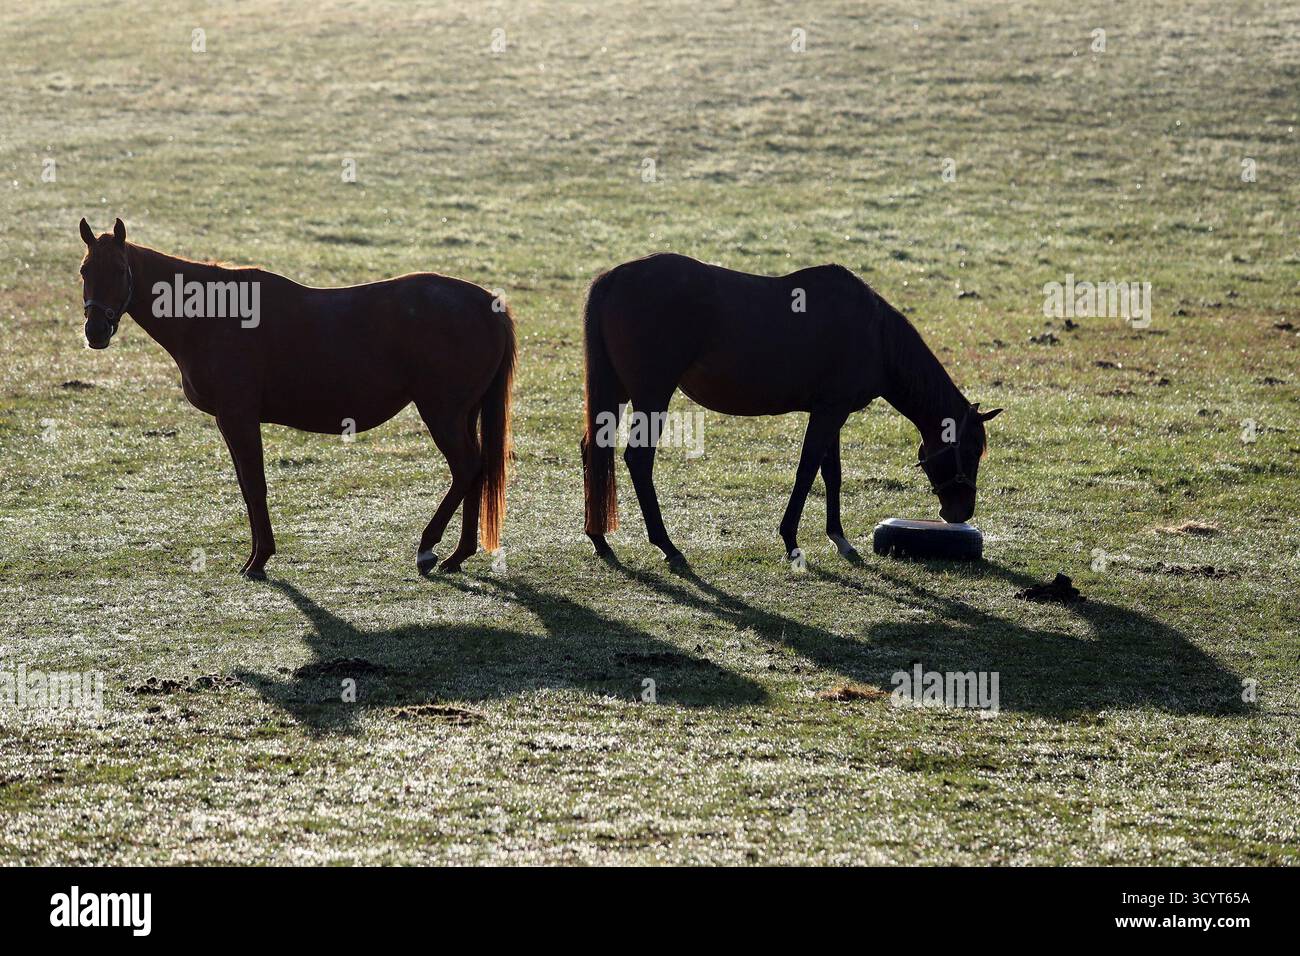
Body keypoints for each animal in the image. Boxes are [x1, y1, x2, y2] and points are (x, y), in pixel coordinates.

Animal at [78, 218, 515, 578]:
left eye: (119, 270)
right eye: (84, 271)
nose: (96, 331)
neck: (213, 316)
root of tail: (486, 304)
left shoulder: (238, 417)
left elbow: (255, 485)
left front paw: (259, 559)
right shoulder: (230, 420)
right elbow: (246, 485)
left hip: (443, 413)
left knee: (466, 467)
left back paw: (428, 549)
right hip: (463, 413)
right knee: (476, 469)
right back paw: (459, 554)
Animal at [580, 253, 1002, 565]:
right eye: (969, 451)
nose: (961, 512)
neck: (876, 335)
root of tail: (613, 278)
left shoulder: (832, 412)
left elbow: (832, 473)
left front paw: (839, 538)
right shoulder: (830, 411)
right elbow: (807, 470)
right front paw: (790, 539)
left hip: (617, 392)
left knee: (594, 450)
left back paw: (599, 538)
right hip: (652, 395)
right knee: (638, 459)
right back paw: (666, 545)